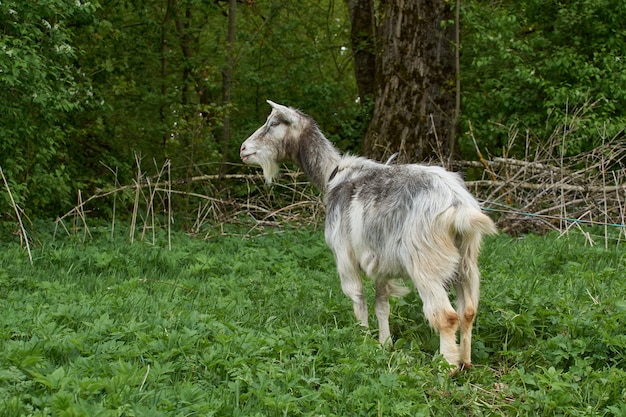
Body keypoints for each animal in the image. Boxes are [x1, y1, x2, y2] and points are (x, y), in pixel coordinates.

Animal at [240, 101, 498, 368]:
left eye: (273, 123)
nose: (243, 149)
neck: (332, 176)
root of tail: (457, 205)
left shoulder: (344, 255)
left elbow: (357, 298)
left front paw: (362, 340)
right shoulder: (380, 262)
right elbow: (381, 305)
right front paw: (385, 344)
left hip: (425, 263)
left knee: (446, 316)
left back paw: (447, 368)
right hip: (466, 262)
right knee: (468, 311)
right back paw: (465, 361)